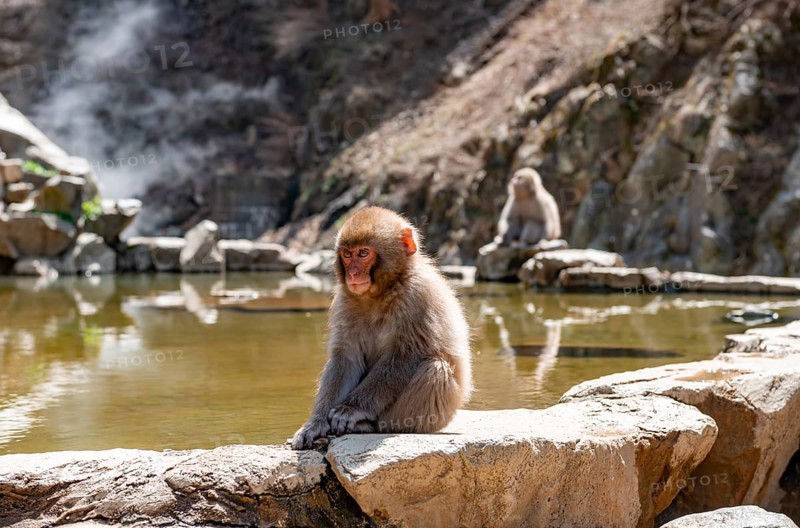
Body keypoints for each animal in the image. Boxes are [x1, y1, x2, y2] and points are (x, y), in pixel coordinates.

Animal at [291, 206, 472, 449]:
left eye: (363, 253)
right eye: (347, 254)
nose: (353, 273)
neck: (379, 293)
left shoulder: (418, 295)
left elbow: (406, 355)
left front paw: (351, 410)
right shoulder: (344, 301)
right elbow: (346, 357)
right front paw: (315, 423)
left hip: (435, 416)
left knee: (435, 369)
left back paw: (369, 425)